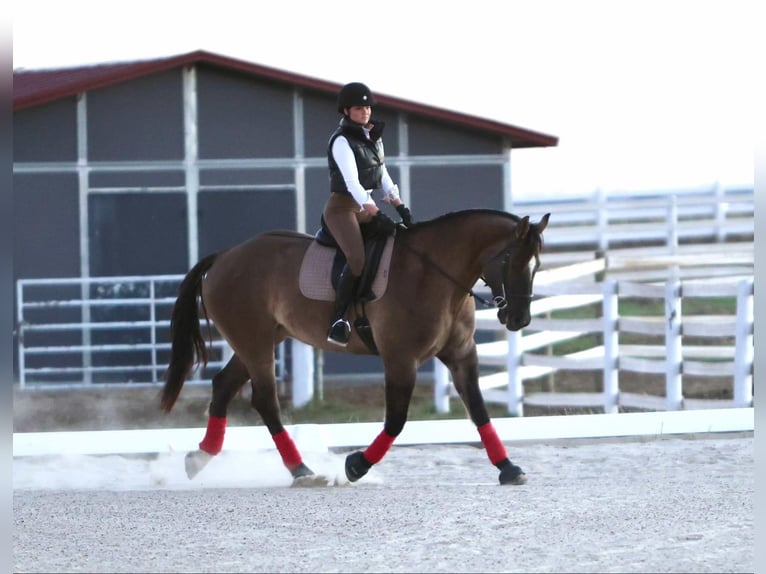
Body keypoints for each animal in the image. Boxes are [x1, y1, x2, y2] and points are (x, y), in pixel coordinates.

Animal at [160, 209, 552, 488]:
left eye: (537, 265)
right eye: (511, 261)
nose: (519, 319)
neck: (434, 274)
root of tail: (225, 256)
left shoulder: (460, 356)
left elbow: (480, 411)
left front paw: (508, 468)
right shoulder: (400, 359)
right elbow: (396, 421)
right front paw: (356, 465)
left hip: (262, 340)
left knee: (224, 386)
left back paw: (200, 459)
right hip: (254, 342)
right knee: (265, 400)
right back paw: (301, 470)